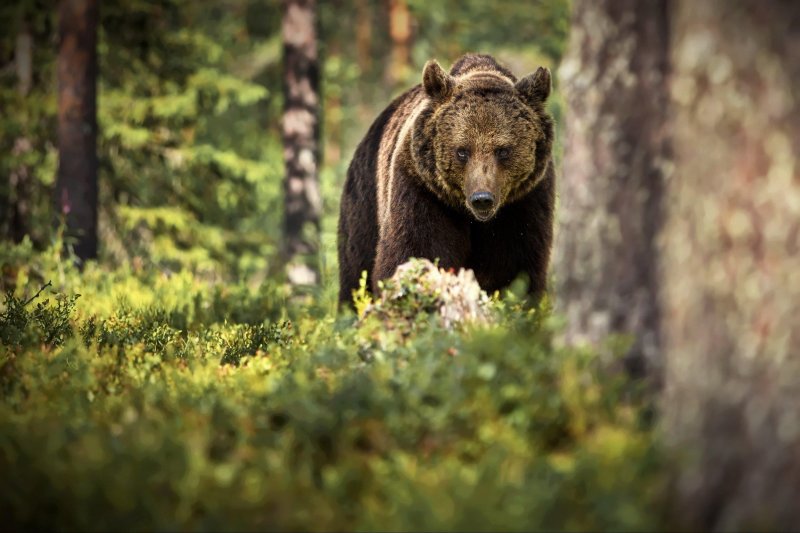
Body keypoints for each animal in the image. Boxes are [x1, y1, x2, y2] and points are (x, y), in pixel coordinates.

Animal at [338, 53, 556, 306]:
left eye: (503, 150)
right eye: (462, 151)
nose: (482, 199)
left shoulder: (524, 202)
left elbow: (516, 266)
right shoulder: (423, 190)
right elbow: (416, 250)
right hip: (365, 200)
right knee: (356, 267)